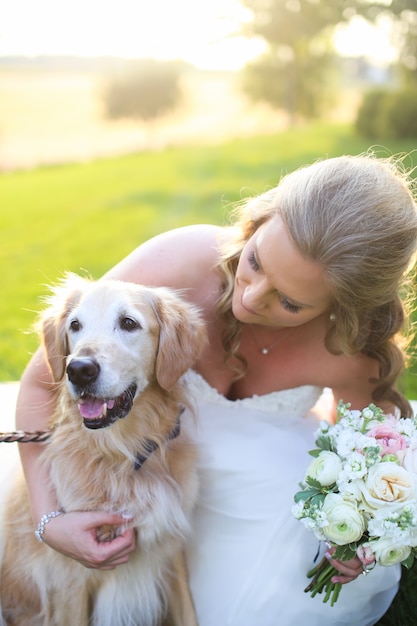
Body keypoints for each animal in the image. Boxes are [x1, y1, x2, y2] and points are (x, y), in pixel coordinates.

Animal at [0, 274, 206, 624]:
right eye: (75, 325)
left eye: (128, 323)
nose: (79, 369)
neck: (123, 454)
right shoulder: (70, 576)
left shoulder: (171, 551)